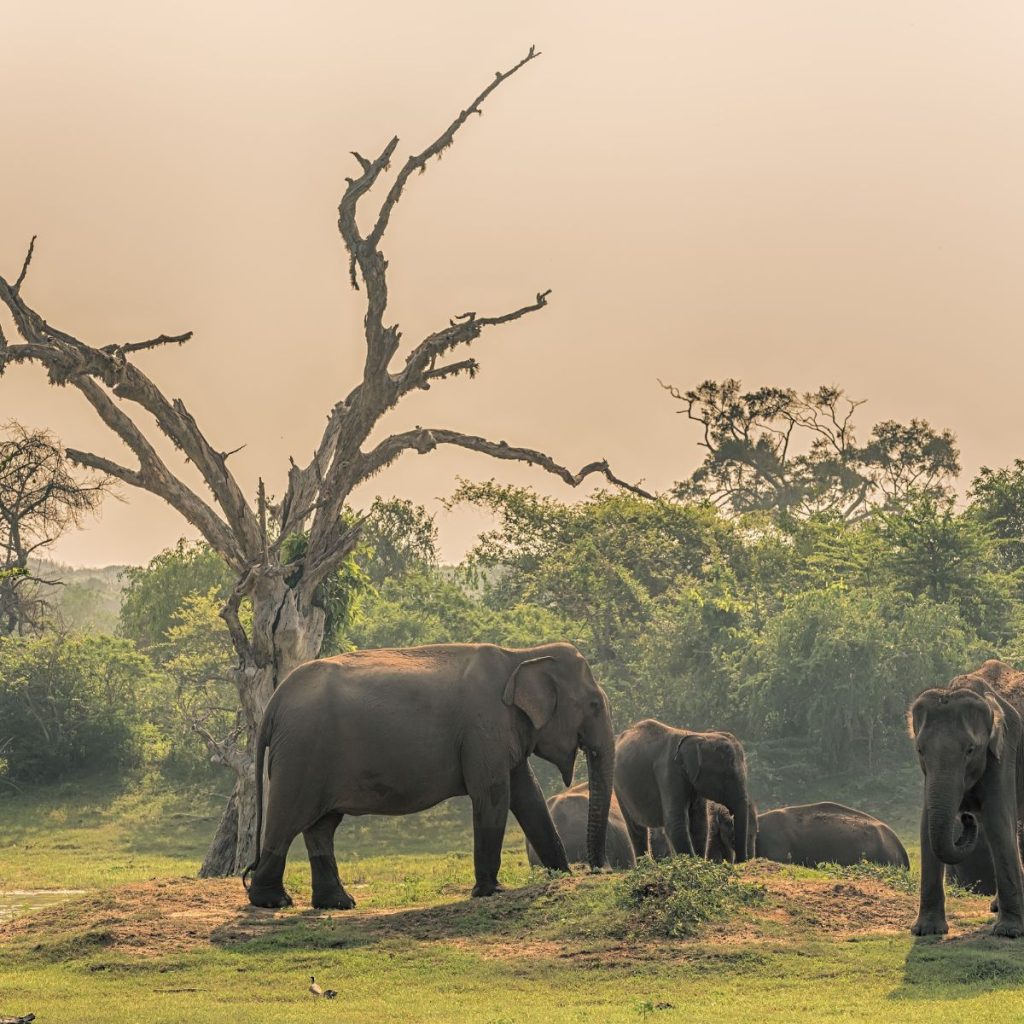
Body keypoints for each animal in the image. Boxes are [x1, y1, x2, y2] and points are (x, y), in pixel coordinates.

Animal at [243, 642, 616, 909]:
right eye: (595, 705)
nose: (600, 870)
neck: (522, 655)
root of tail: (275, 701)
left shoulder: (503, 733)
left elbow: (528, 796)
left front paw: (562, 876)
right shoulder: (484, 728)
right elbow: (493, 794)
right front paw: (491, 892)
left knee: (322, 826)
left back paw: (338, 904)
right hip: (301, 754)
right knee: (289, 818)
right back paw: (273, 901)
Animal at [614, 719, 753, 864]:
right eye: (726, 775)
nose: (739, 862)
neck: (698, 736)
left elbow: (699, 824)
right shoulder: (669, 772)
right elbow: (676, 823)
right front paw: (691, 864)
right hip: (618, 787)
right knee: (636, 828)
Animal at [908, 659, 1024, 937]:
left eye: (970, 750)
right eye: (920, 750)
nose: (967, 817)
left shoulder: (1004, 751)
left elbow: (998, 822)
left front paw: (1008, 932)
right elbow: (926, 825)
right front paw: (926, 930)